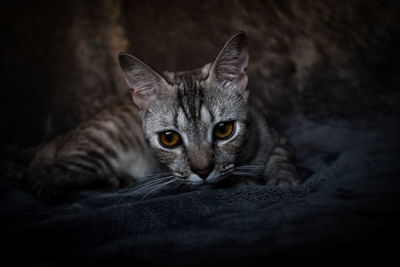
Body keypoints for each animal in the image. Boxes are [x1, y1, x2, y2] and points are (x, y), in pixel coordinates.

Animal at [21, 31, 296, 203]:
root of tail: (64, 136)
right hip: (92, 153)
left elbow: (282, 158)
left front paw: (282, 179)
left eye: (223, 130)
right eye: (169, 139)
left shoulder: (277, 137)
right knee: (41, 172)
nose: (203, 170)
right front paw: (242, 182)